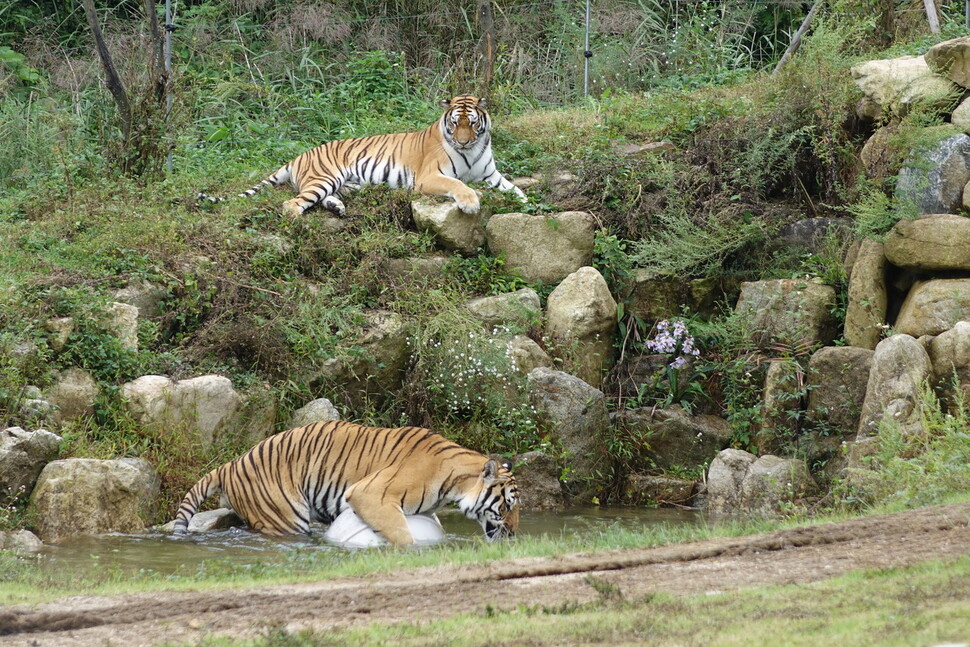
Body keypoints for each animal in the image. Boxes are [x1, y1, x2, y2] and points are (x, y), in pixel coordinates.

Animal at [174, 420, 520, 548]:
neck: (454, 482)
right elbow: (403, 535)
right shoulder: (371, 493)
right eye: (508, 505)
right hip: (286, 517)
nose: (515, 534)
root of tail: (231, 463)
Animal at [199, 95, 524, 218]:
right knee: (291, 203)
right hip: (324, 177)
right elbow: (459, 185)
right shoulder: (429, 176)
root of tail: (299, 155)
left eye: (472, 123)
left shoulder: (491, 175)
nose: (463, 141)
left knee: (320, 198)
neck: (473, 150)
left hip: (342, 183)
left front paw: (526, 204)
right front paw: (471, 203)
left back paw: (338, 208)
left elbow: (515, 188)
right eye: (455, 124)